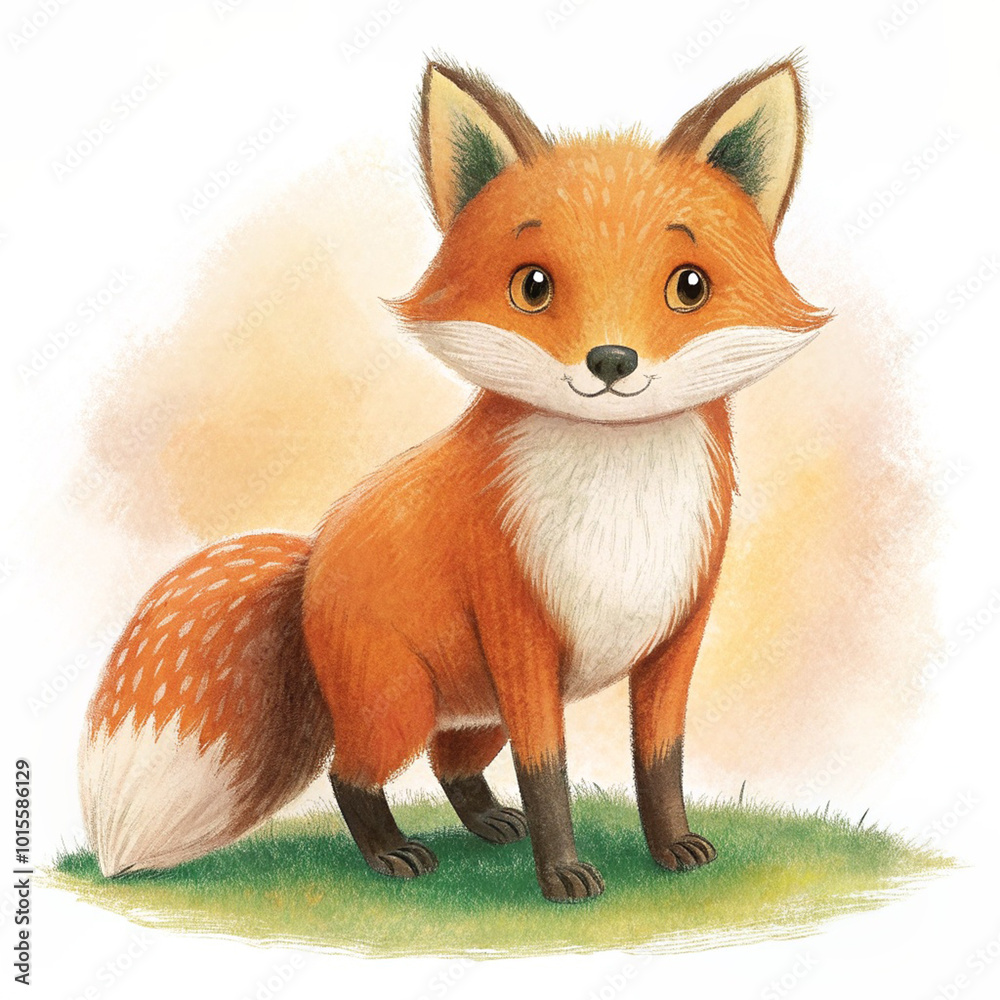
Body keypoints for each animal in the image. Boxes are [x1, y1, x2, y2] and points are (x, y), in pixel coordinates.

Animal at [80, 55, 829, 902]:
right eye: (532, 286)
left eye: (689, 286)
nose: (611, 361)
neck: (622, 502)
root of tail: (306, 563)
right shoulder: (518, 631)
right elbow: (549, 771)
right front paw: (562, 875)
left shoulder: (680, 631)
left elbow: (658, 761)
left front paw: (670, 846)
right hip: (400, 703)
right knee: (349, 774)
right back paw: (391, 854)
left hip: (474, 714)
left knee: (451, 766)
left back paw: (489, 823)